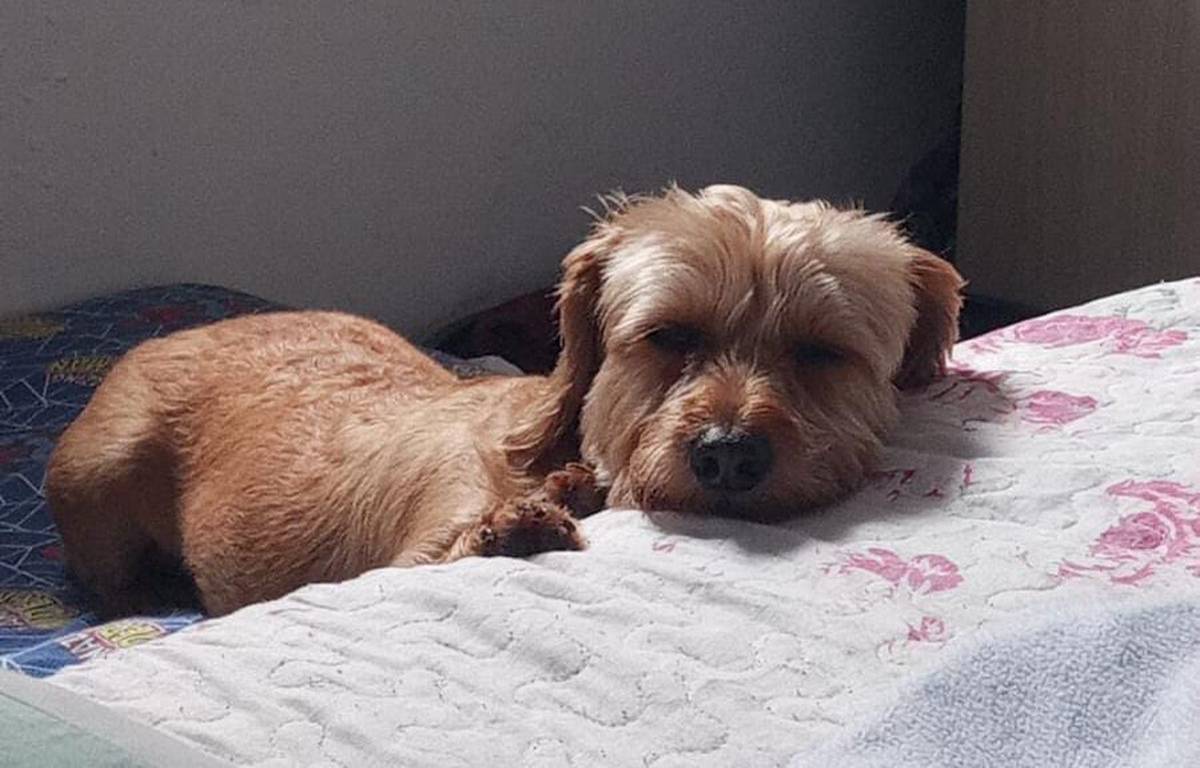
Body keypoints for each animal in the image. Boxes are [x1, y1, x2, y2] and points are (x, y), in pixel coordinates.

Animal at [47, 184, 962, 617]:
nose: (728, 455)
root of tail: (172, 335)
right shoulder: (417, 550)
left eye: (821, 351)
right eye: (669, 334)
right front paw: (517, 528)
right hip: (96, 474)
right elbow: (450, 548)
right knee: (104, 573)